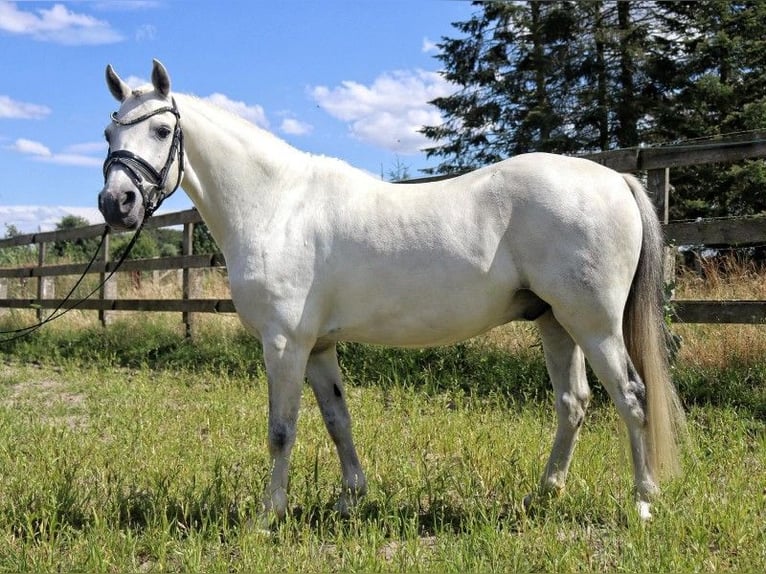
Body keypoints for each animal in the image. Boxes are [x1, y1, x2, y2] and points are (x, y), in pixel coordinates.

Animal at [99, 60, 688, 524]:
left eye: (160, 129)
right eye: (108, 135)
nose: (115, 203)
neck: (277, 205)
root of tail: (614, 180)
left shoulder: (284, 343)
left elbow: (282, 430)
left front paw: (268, 516)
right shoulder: (318, 346)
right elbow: (337, 421)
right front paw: (350, 499)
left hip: (593, 324)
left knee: (631, 397)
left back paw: (642, 501)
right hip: (555, 322)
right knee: (574, 403)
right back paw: (544, 494)